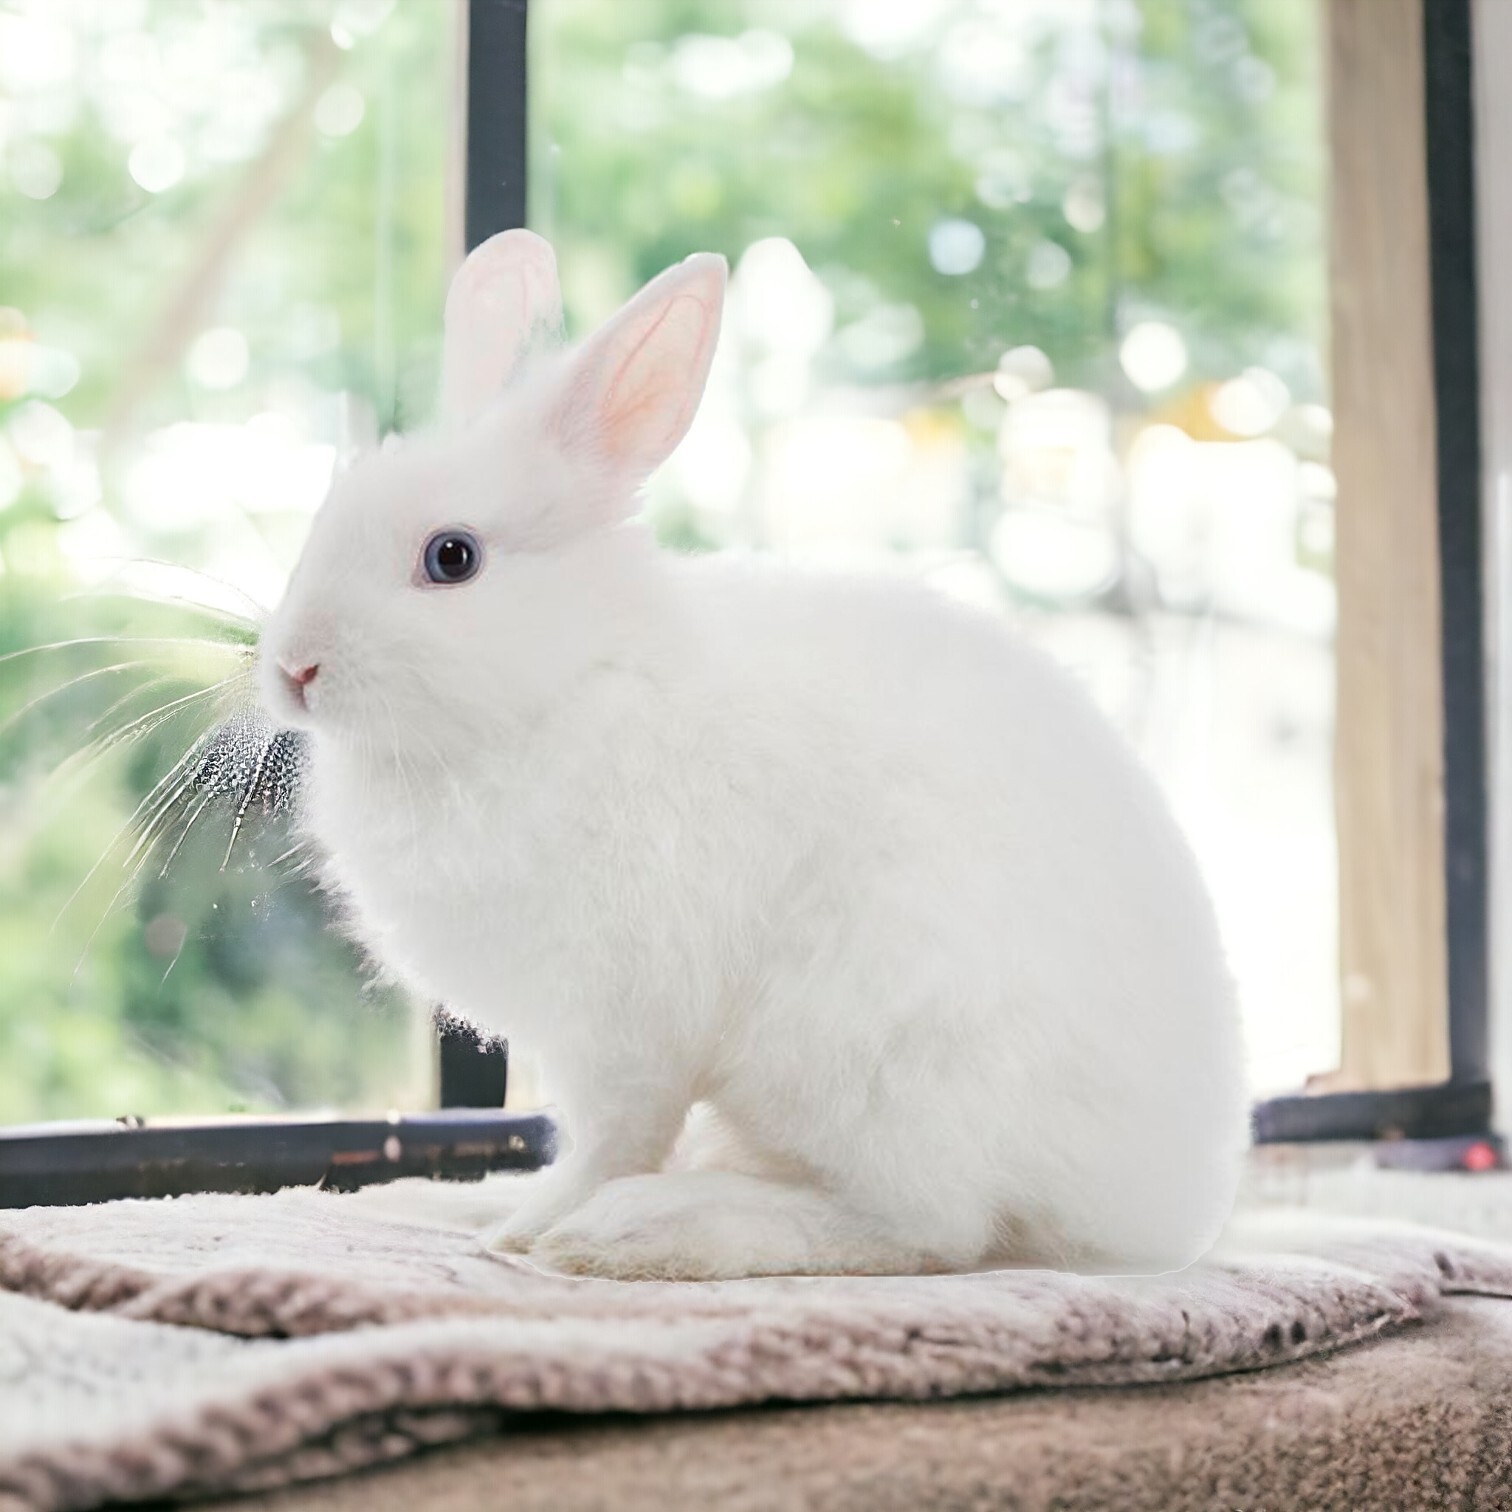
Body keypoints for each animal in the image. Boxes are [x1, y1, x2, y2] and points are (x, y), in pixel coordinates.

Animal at [258, 229, 1247, 1281]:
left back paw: (650, 1230)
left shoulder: (623, 1025)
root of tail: (1168, 1206)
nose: (294, 667)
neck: (568, 684)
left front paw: (534, 1228)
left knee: (926, 1228)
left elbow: (613, 1136)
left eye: (452, 557)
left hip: (860, 1053)